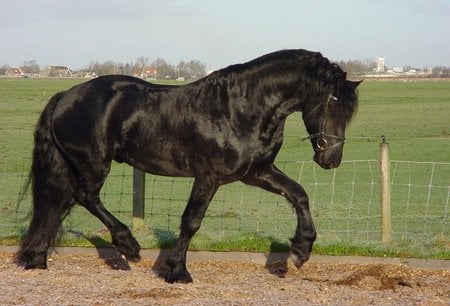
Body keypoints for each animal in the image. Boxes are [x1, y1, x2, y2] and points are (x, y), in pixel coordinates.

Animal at [17, 49, 360, 284]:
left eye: (349, 111)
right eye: (331, 102)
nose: (330, 159)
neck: (240, 109)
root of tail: (65, 95)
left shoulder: (256, 173)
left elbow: (299, 194)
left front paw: (301, 249)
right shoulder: (209, 177)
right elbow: (191, 221)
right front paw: (177, 271)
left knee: (59, 203)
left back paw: (37, 259)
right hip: (93, 163)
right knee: (84, 197)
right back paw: (128, 246)